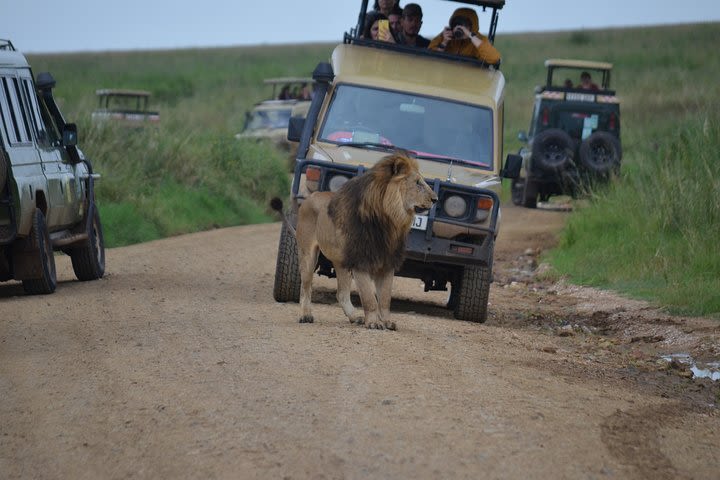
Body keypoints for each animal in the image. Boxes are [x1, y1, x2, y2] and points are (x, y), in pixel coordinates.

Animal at [272, 154, 436, 330]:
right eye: (418, 183)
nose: (435, 199)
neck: (389, 221)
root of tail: (311, 196)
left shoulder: (387, 263)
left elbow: (385, 299)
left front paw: (386, 322)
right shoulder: (360, 261)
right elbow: (369, 297)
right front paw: (373, 323)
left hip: (341, 262)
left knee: (341, 293)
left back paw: (354, 317)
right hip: (307, 253)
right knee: (306, 286)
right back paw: (305, 315)